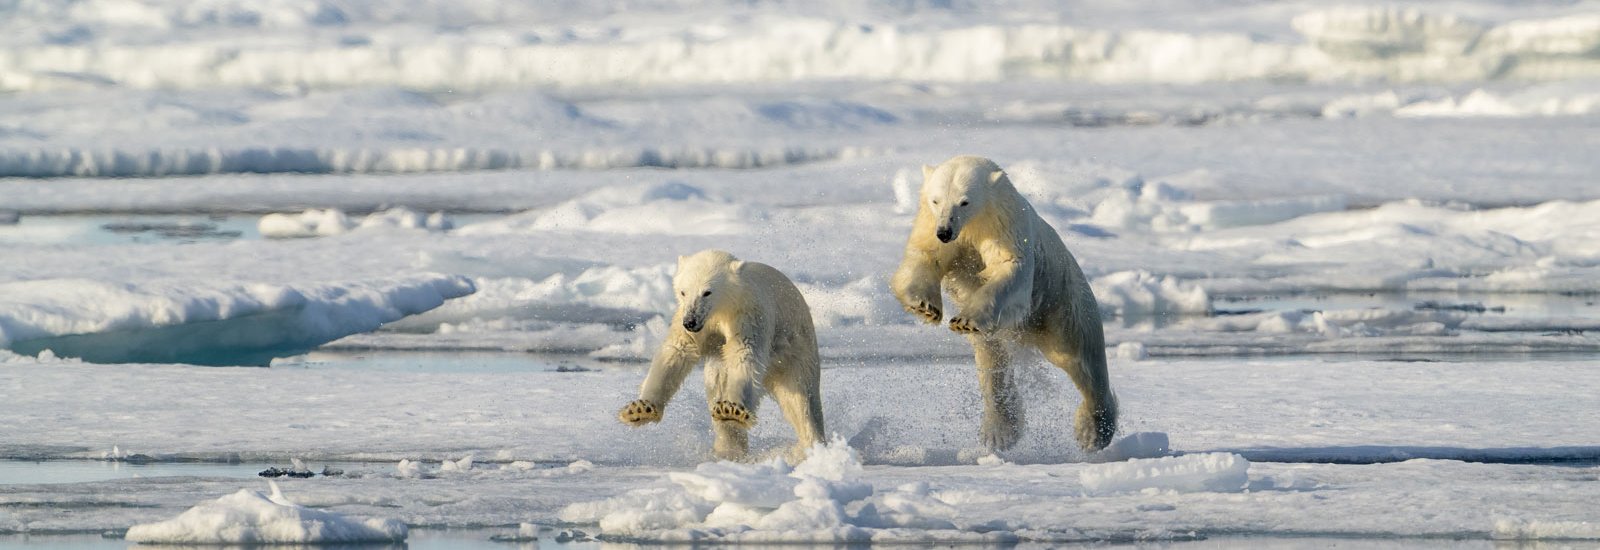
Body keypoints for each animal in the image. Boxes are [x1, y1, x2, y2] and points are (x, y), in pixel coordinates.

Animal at [617, 249, 825, 461]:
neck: (722, 309)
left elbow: (744, 354)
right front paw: (640, 409)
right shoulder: (693, 323)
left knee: (801, 400)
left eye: (707, 292)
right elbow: (677, 352)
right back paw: (728, 448)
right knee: (718, 385)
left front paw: (731, 410)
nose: (690, 321)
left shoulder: (748, 316)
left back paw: (810, 447)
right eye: (683, 291)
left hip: (795, 349)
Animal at [890, 155, 1118, 452]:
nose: (945, 231)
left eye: (964, 201)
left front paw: (965, 320)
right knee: (991, 359)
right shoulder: (931, 225)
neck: (974, 223)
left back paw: (1093, 431)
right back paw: (999, 431)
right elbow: (926, 256)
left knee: (1079, 358)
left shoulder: (1004, 224)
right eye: (936, 200)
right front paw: (923, 306)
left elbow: (1008, 268)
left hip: (1063, 305)